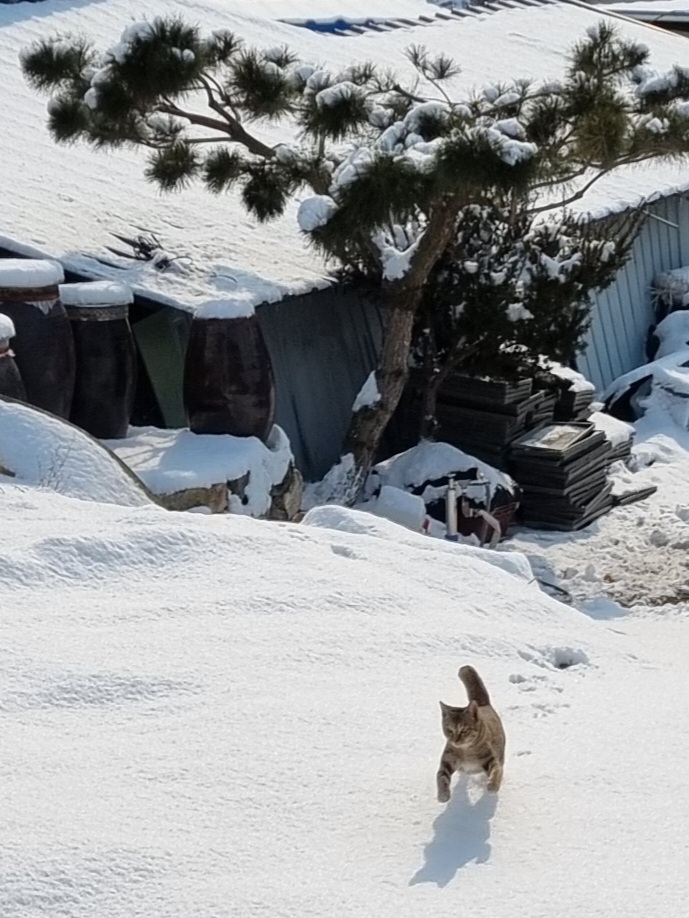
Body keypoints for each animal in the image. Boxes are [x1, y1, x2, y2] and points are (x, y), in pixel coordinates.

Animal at [436, 664, 506, 800]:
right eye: (449, 730)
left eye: (464, 730)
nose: (455, 740)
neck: (465, 751)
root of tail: (481, 704)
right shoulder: (447, 760)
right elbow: (441, 777)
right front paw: (443, 794)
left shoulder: (491, 759)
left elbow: (496, 771)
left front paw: (492, 786)